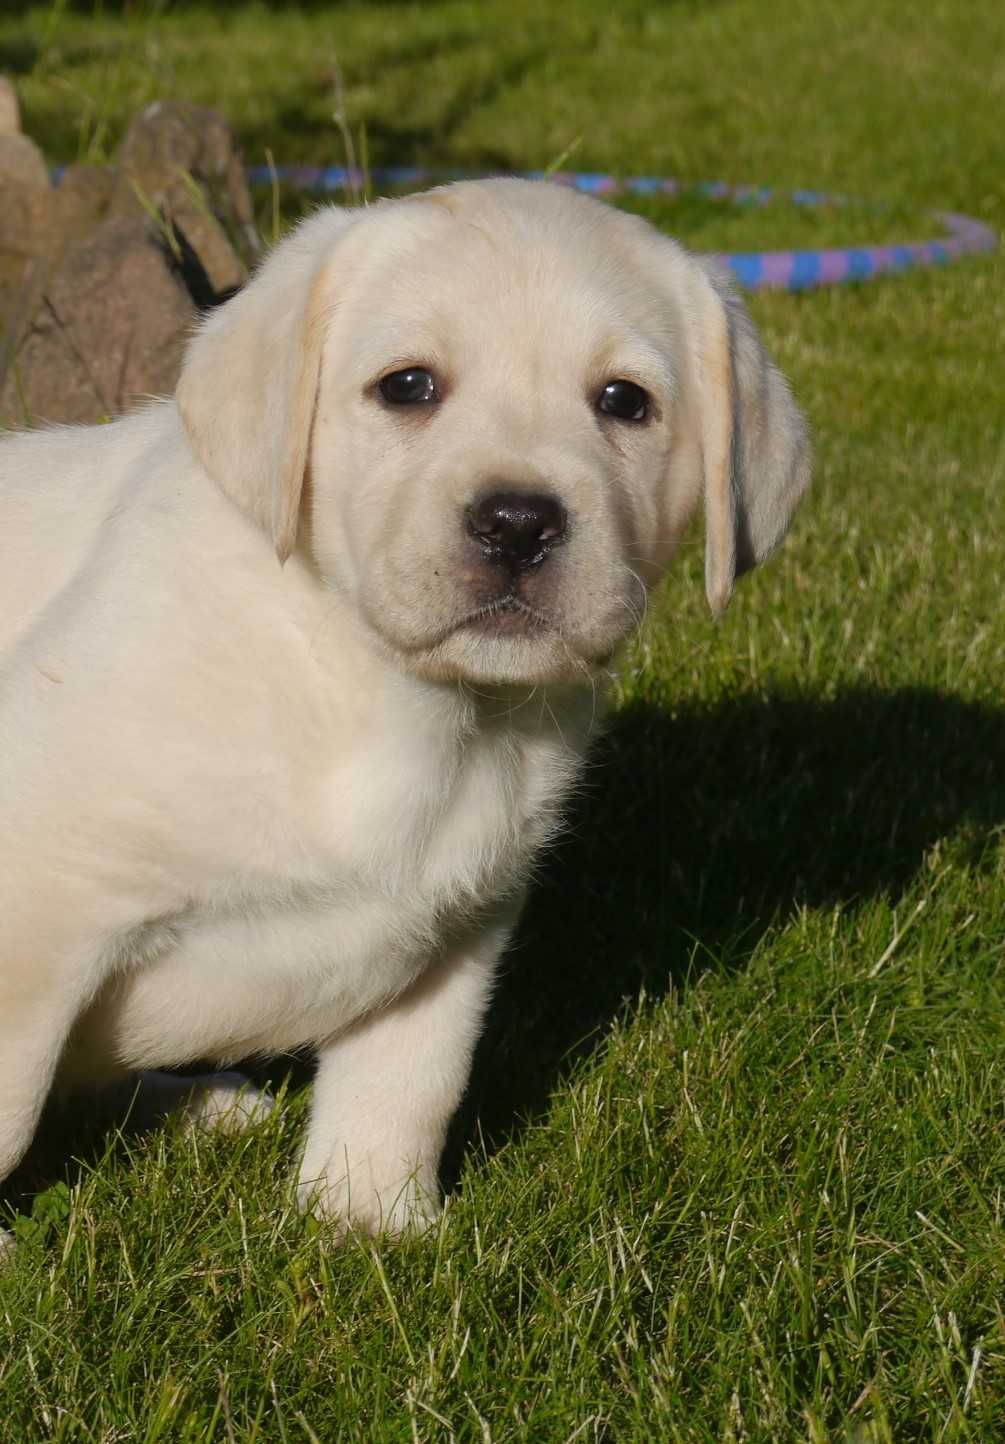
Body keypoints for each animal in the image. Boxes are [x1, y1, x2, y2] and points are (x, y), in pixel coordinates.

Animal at [0, 177, 808, 1241]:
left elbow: (406, 1081)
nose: (517, 523)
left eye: (624, 402)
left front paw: (367, 1221)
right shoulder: (37, 895)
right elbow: (9, 1104)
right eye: (408, 387)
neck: (380, 692)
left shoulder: (456, 926)